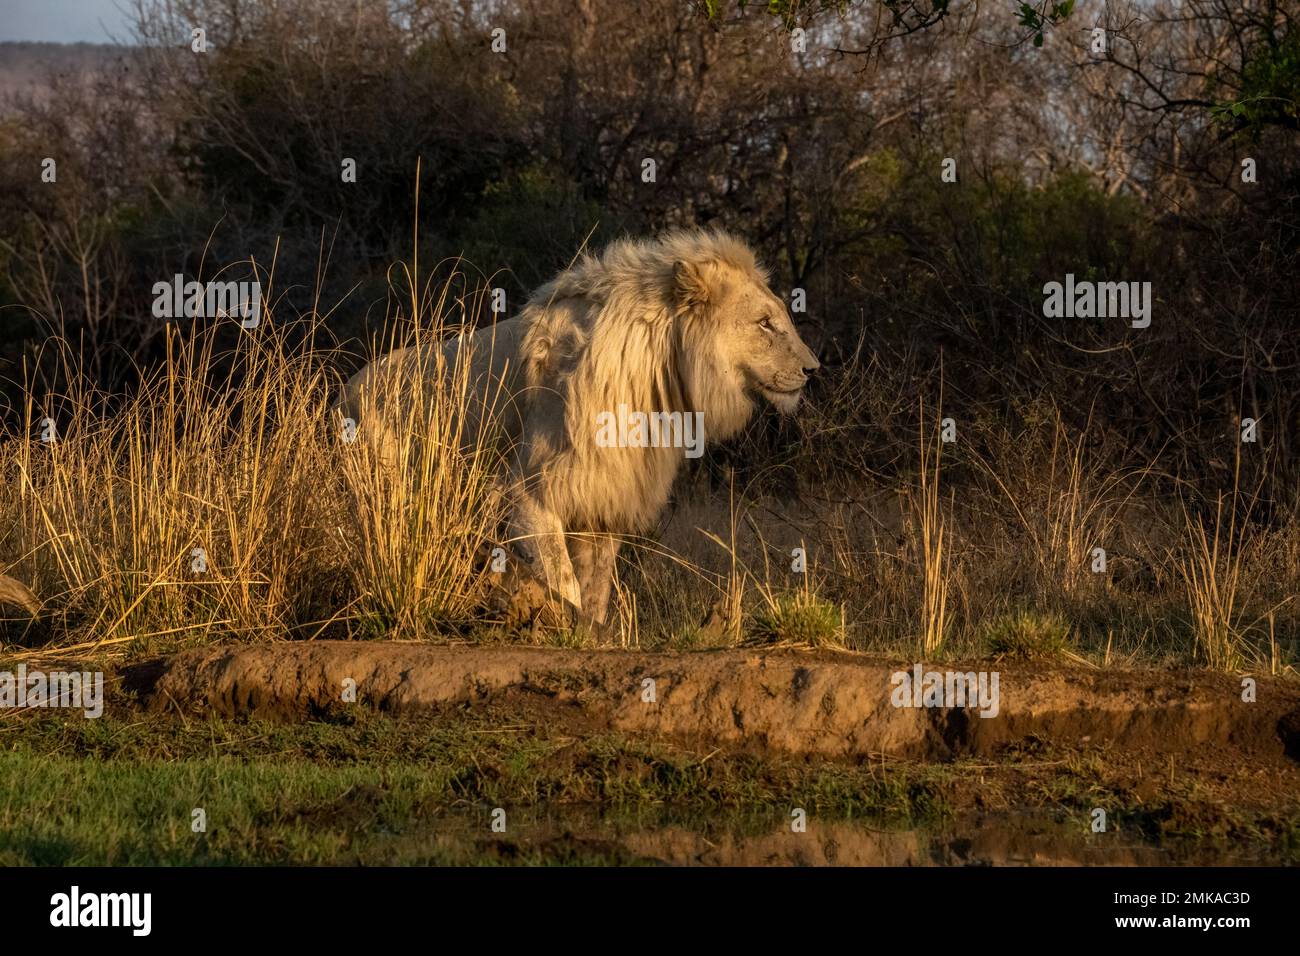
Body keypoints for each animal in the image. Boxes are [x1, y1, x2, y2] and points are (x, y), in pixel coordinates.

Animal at [340, 227, 816, 624]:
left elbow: (596, 587)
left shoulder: (604, 494)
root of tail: (346, 388)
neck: (655, 375)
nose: (813, 368)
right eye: (764, 323)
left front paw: (592, 631)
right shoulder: (527, 491)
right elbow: (562, 580)